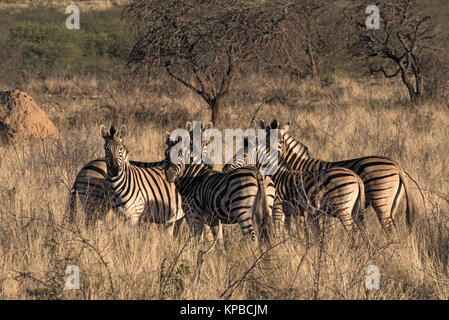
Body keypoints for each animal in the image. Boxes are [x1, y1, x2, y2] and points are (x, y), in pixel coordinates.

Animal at [222, 126, 366, 236]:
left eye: (244, 154)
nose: (224, 168)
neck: (276, 174)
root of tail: (356, 177)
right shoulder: (289, 212)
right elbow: (289, 233)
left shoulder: (277, 208)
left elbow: (279, 232)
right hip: (353, 209)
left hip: (342, 209)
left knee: (353, 232)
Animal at [268, 119, 414, 234]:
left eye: (280, 141)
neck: (296, 165)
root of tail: (396, 165)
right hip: (392, 202)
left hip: (380, 199)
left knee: (388, 227)